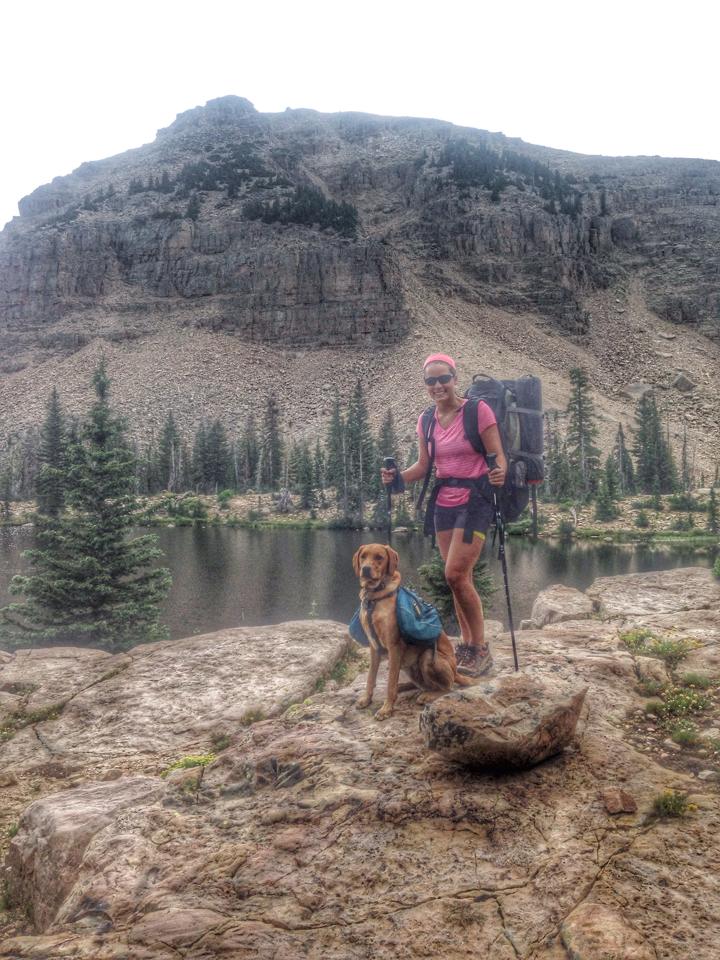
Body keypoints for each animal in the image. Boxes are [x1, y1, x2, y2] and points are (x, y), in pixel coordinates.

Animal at [350, 544, 472, 716]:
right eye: (363, 556)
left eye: (379, 557)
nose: (365, 569)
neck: (376, 597)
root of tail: (456, 672)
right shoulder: (374, 647)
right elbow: (370, 677)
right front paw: (367, 699)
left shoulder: (394, 646)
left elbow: (390, 682)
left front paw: (386, 709)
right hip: (409, 667)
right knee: (422, 684)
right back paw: (404, 687)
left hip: (428, 657)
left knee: (447, 687)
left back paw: (427, 695)